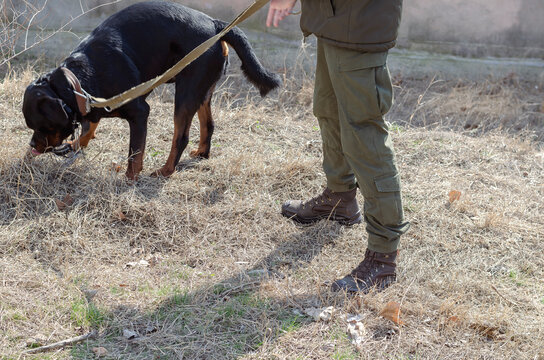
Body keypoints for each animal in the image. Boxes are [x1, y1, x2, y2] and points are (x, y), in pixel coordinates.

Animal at [22, 0, 280, 179]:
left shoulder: (139, 112)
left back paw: (165, 171)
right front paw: (76, 145)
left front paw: (130, 179)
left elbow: (135, 152)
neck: (78, 81)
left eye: (42, 126)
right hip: (202, 91)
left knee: (181, 137)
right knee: (208, 124)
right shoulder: (91, 104)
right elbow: (89, 126)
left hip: (186, 94)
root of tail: (217, 25)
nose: (33, 145)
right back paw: (202, 154)